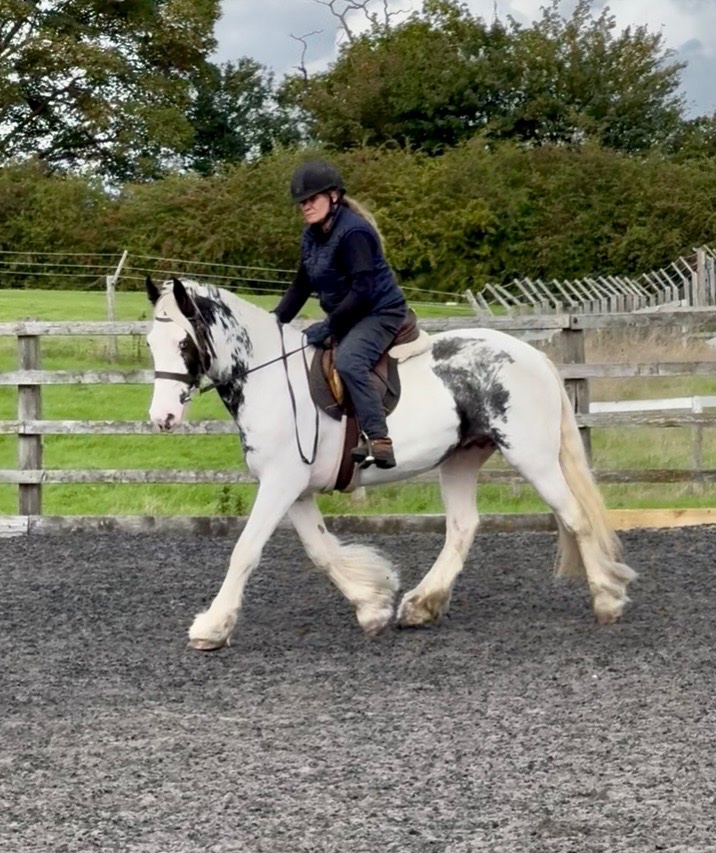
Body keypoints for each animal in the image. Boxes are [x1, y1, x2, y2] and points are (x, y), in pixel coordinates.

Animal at [145, 276, 636, 651]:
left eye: (184, 343)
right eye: (151, 343)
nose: (161, 418)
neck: (270, 379)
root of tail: (534, 356)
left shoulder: (281, 483)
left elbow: (245, 550)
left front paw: (212, 628)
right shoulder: (295, 489)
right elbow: (322, 552)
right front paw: (372, 604)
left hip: (532, 456)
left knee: (575, 517)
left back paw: (607, 600)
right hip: (461, 459)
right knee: (463, 527)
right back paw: (421, 605)